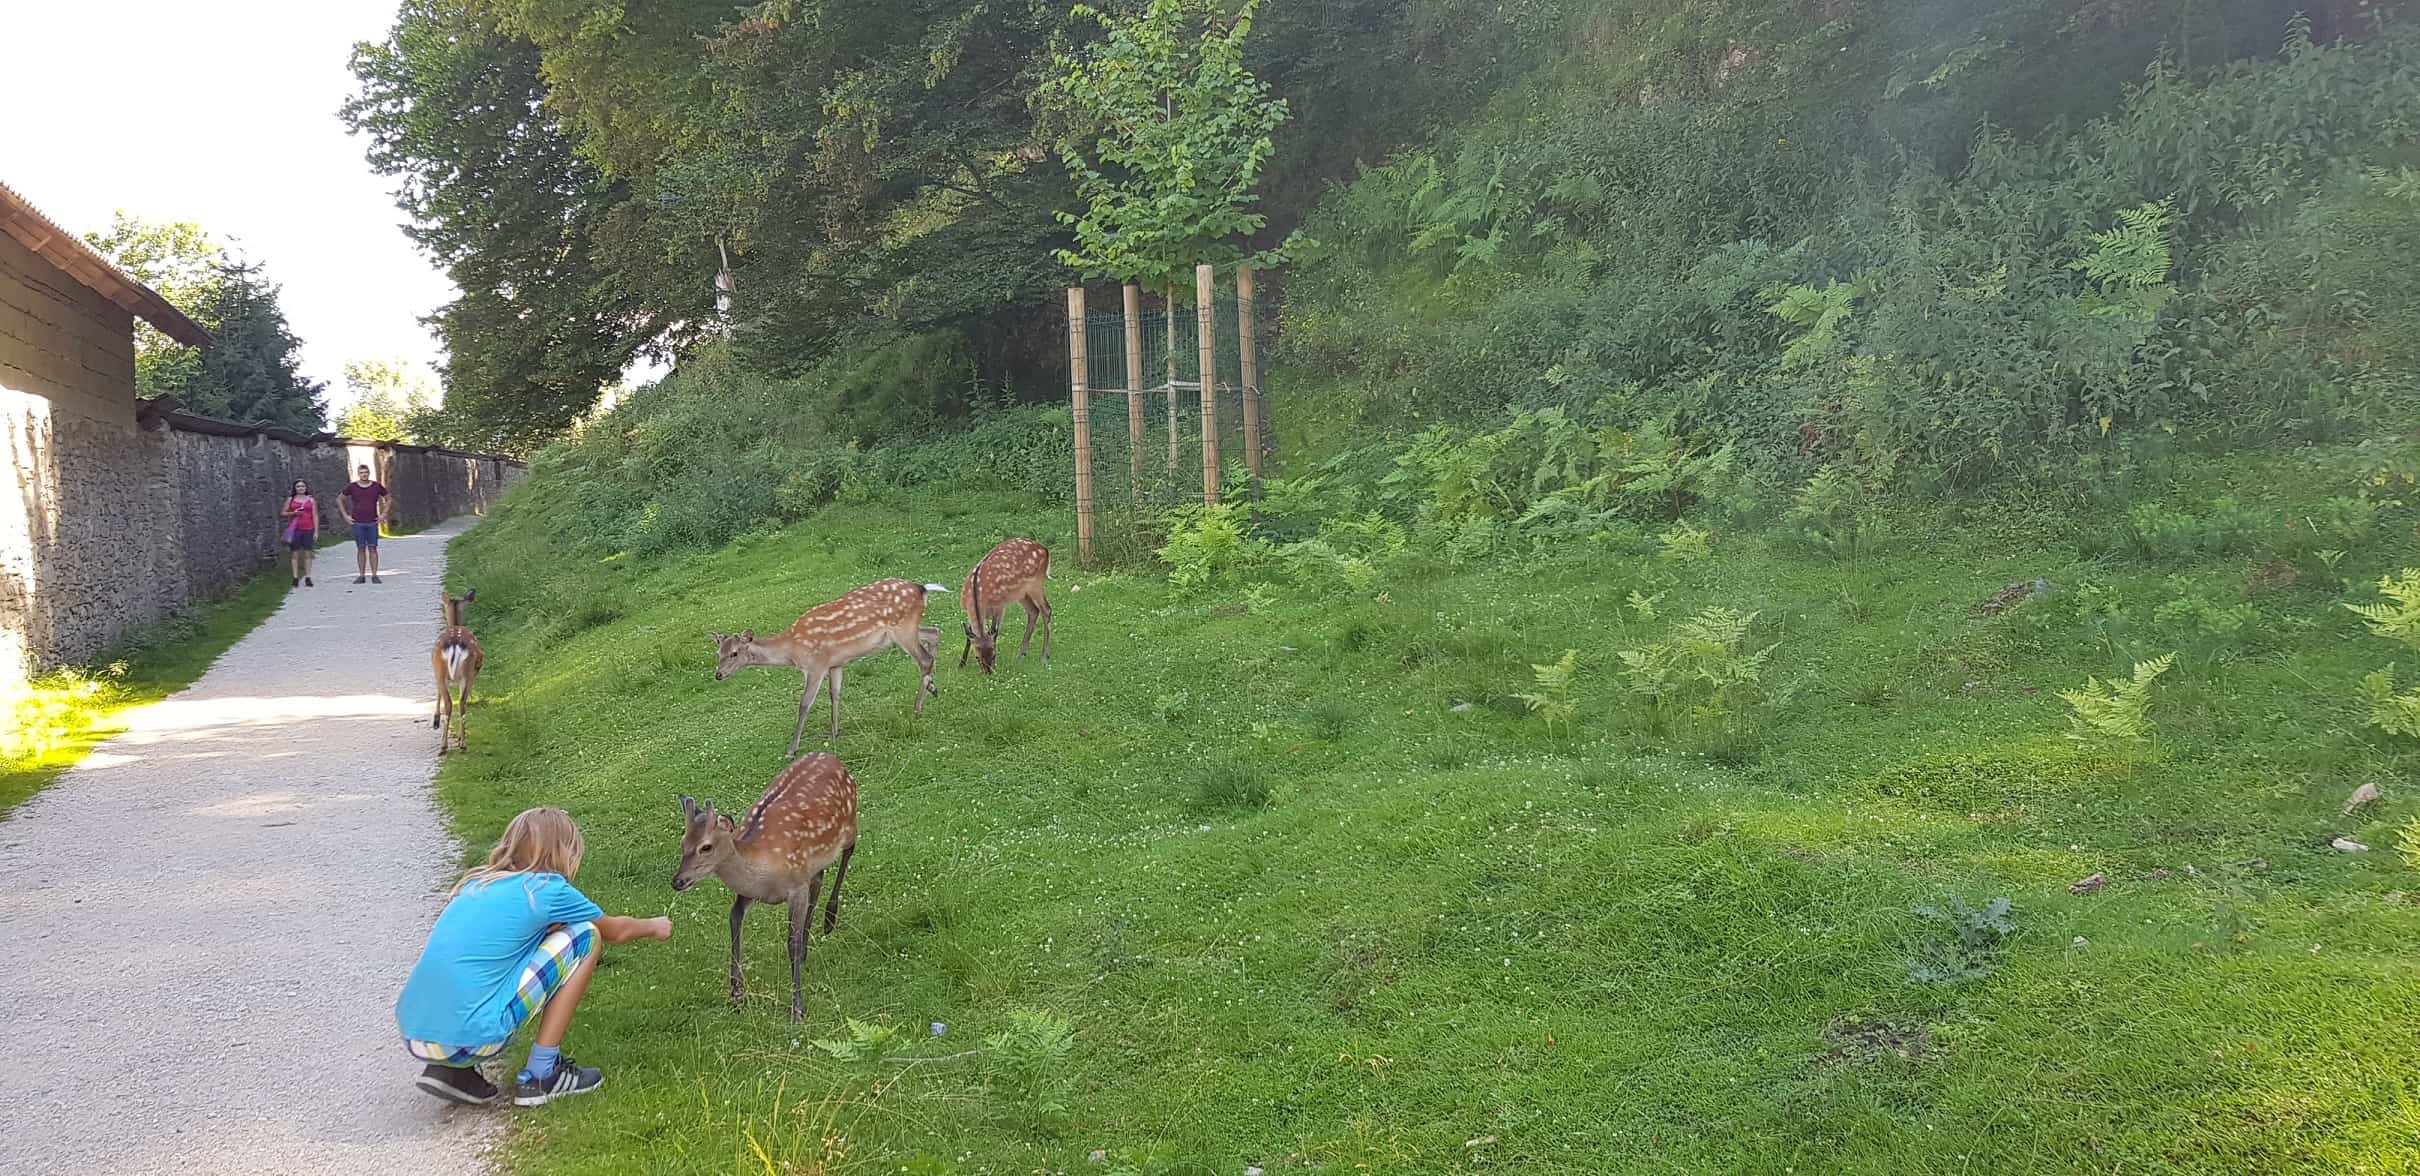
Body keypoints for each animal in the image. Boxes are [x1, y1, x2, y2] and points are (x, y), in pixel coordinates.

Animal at [430, 588, 481, 754]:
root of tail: (454, 644)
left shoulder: (436, 670)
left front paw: (435, 721)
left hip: (448, 670)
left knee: (452, 703)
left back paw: (445, 745)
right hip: (467, 674)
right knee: (461, 702)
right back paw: (461, 743)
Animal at [667, 754, 856, 1021]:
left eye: (706, 846)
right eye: (683, 842)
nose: (678, 881)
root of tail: (832, 758)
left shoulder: (796, 886)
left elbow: (791, 943)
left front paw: (797, 1009)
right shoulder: (748, 893)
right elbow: (734, 920)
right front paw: (737, 996)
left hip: (850, 821)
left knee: (849, 851)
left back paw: (829, 920)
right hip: (815, 860)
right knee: (819, 878)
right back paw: (809, 947)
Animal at [706, 575, 943, 759]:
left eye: (734, 653)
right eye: (718, 653)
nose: (718, 674)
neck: (793, 651)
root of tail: (921, 588)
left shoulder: (816, 665)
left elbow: (804, 704)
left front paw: (791, 750)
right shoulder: (835, 663)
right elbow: (835, 694)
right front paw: (834, 732)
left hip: (902, 629)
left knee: (924, 658)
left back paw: (917, 708)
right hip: (902, 632)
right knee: (934, 632)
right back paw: (932, 687)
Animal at [953, 539, 1050, 677]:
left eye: (994, 655)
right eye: (977, 657)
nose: (988, 672)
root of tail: (1045, 550)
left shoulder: (1000, 605)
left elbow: (995, 631)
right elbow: (969, 635)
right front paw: (961, 663)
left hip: (1036, 583)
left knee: (1046, 609)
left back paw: (1044, 655)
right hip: (1021, 593)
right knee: (1033, 611)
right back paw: (1021, 654)